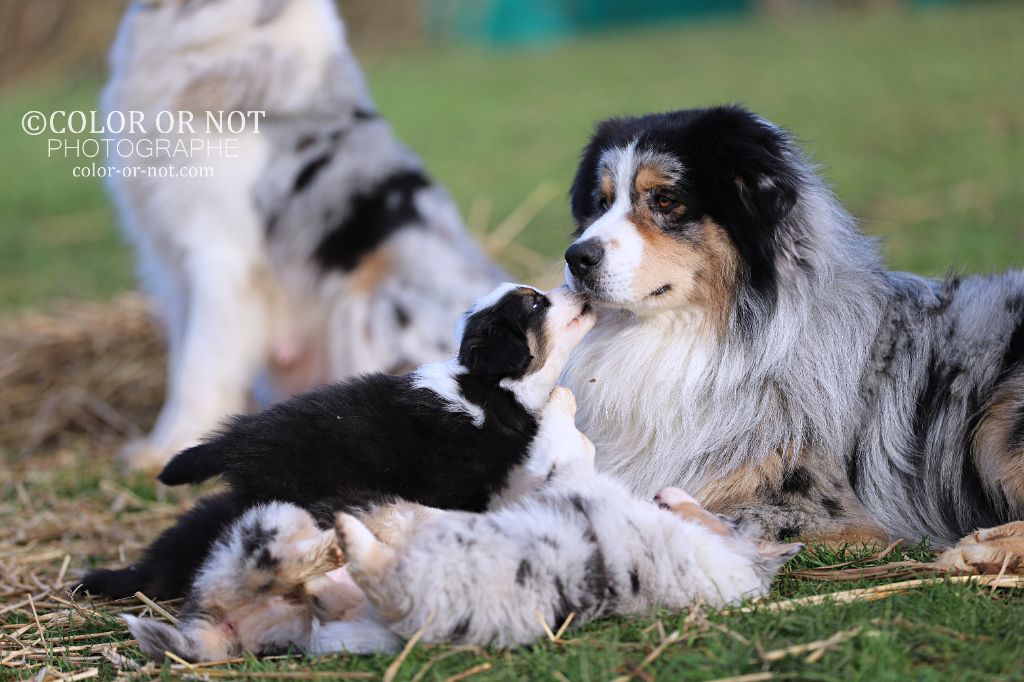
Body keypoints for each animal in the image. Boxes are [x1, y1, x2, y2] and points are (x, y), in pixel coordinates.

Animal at [105, 0, 501, 473]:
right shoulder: (171, 259)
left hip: (376, 295)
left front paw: (173, 449)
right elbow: (180, 360)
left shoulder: (220, 257)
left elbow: (200, 367)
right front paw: (157, 445)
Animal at [125, 387, 798, 659]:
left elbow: (566, 446)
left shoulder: (567, 477)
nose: (666, 492)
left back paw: (342, 542)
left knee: (345, 571)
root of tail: (219, 628)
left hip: (407, 591)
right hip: (285, 541)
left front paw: (565, 404)